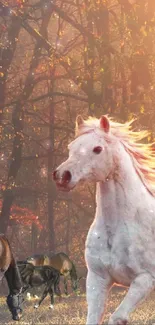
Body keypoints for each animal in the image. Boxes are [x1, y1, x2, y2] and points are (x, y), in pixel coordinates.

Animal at [53, 113, 155, 322]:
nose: (62, 176)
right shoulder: (97, 279)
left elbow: (117, 318)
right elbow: (93, 318)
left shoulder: (145, 279)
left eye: (97, 149)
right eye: (71, 148)